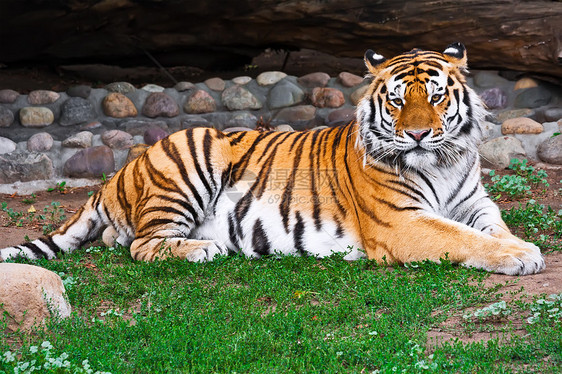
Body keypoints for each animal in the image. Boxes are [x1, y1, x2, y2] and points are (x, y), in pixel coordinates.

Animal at [1, 43, 544, 274]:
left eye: (434, 97)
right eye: (395, 100)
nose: (416, 134)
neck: (444, 160)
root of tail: (116, 175)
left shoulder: (475, 204)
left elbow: (491, 228)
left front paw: (518, 245)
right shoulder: (401, 220)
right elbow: (463, 238)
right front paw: (521, 256)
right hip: (191, 154)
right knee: (142, 244)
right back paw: (202, 249)